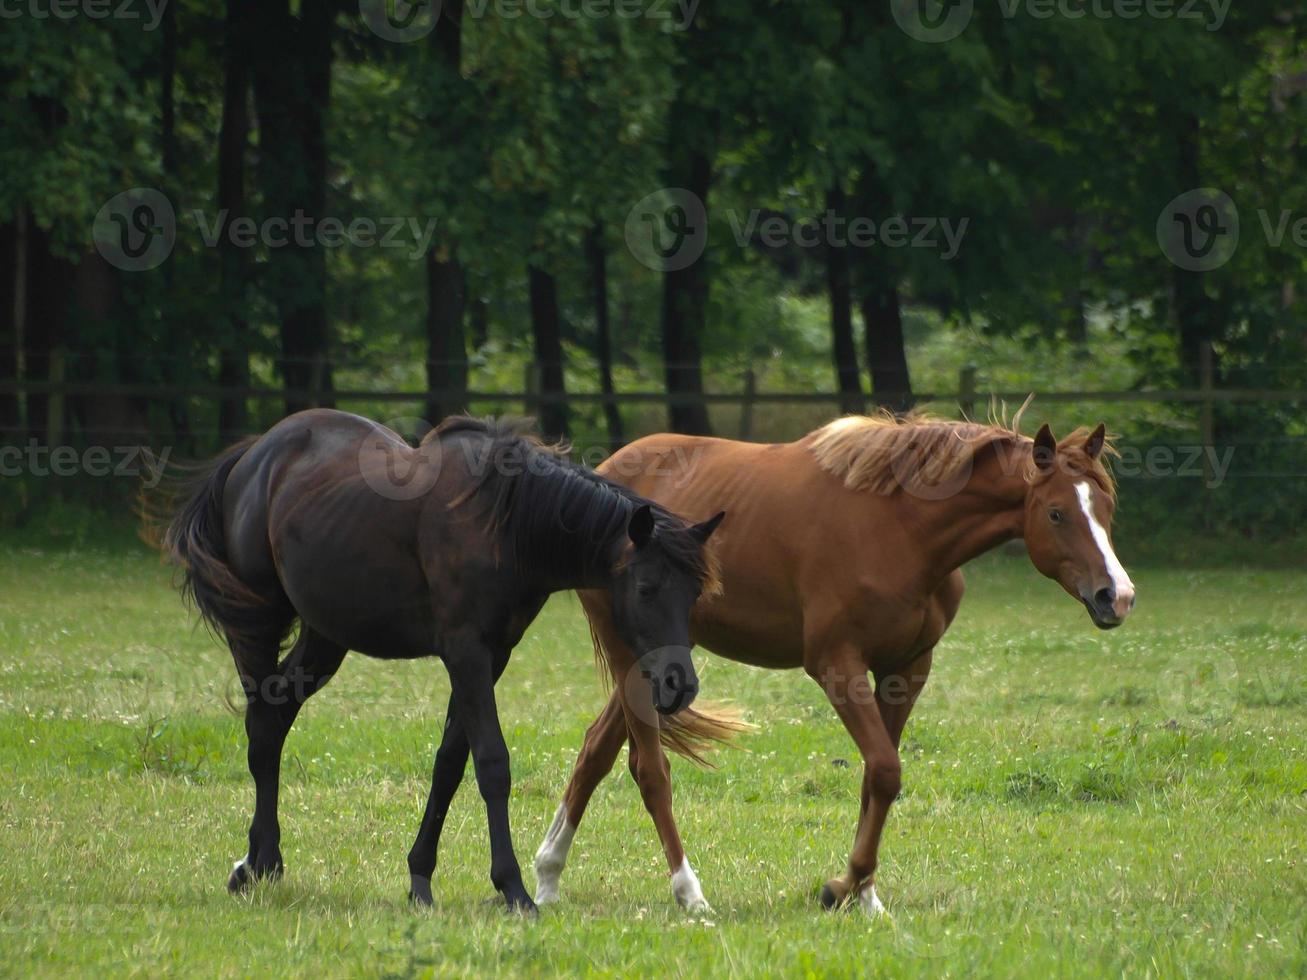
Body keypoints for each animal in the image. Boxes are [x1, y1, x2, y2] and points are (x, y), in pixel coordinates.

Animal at [160, 410, 726, 919]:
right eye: (647, 587)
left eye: (696, 592)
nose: (679, 685)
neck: (504, 524)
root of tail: (253, 457)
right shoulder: (466, 652)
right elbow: (492, 763)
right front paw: (513, 889)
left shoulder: (492, 656)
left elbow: (450, 763)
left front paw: (420, 879)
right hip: (255, 628)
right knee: (261, 729)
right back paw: (260, 860)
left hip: (324, 639)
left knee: (275, 723)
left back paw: (258, 862)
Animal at [530, 412, 1134, 914]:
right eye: (1055, 512)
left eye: (1106, 509)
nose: (1117, 596)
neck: (902, 529)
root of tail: (603, 476)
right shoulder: (836, 665)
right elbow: (886, 769)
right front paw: (843, 887)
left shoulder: (906, 670)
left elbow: (876, 777)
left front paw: (863, 895)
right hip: (630, 652)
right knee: (649, 769)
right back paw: (688, 893)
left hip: (662, 658)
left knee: (595, 750)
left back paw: (549, 878)